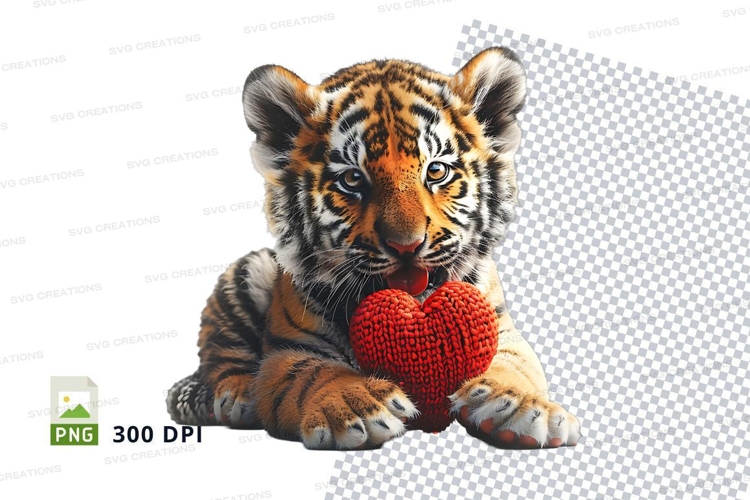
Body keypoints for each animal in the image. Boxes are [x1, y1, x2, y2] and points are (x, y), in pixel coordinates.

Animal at [166, 46, 581, 450]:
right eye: (352, 179)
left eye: (436, 171)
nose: (406, 245)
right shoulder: (287, 352)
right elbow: (313, 373)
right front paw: (353, 405)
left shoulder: (502, 330)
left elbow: (515, 365)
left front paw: (521, 407)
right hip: (247, 274)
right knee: (223, 357)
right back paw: (232, 397)